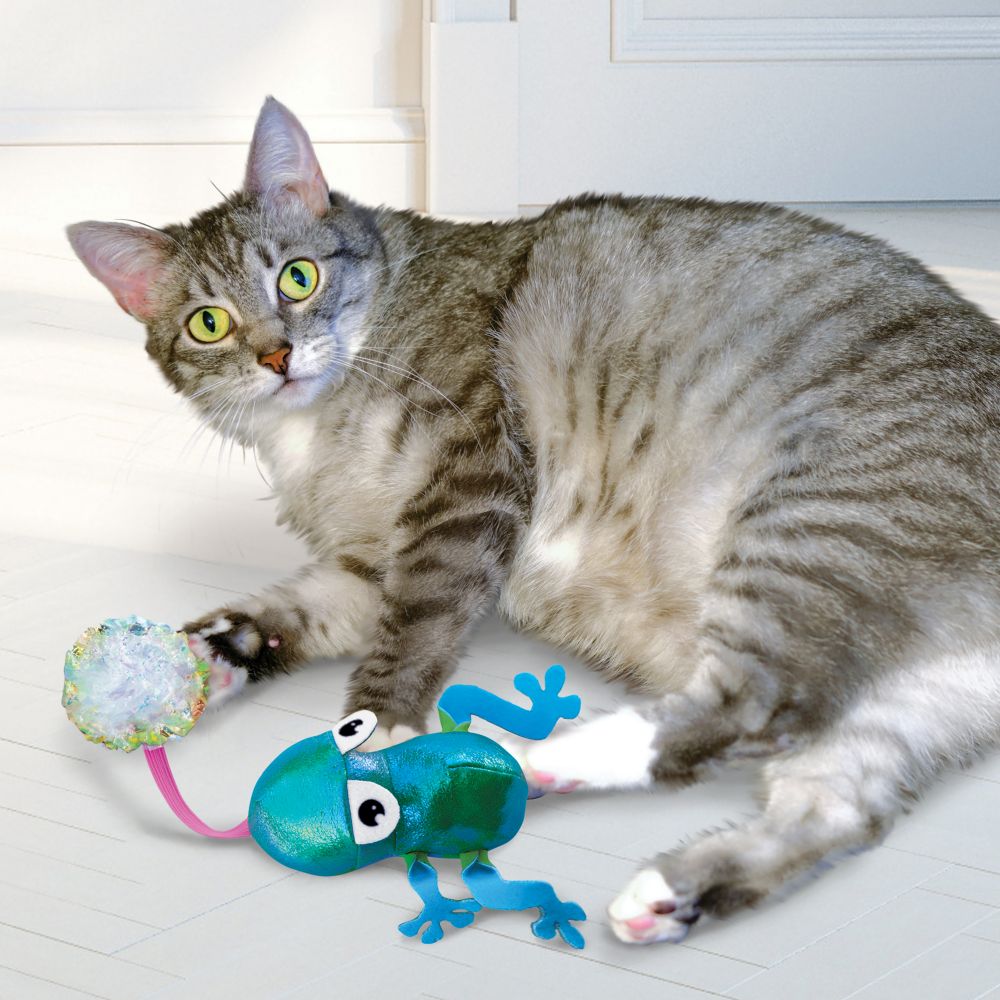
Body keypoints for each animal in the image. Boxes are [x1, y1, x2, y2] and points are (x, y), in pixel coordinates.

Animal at [68, 97, 1000, 940]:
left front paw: (375, 733)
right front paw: (182, 664)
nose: (276, 355)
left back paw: (516, 761)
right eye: (209, 323)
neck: (315, 432)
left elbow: (419, 624)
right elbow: (279, 615)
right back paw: (663, 884)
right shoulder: (363, 568)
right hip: (897, 707)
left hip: (805, 529)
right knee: (838, 809)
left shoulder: (468, 481)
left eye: (298, 276)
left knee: (759, 706)